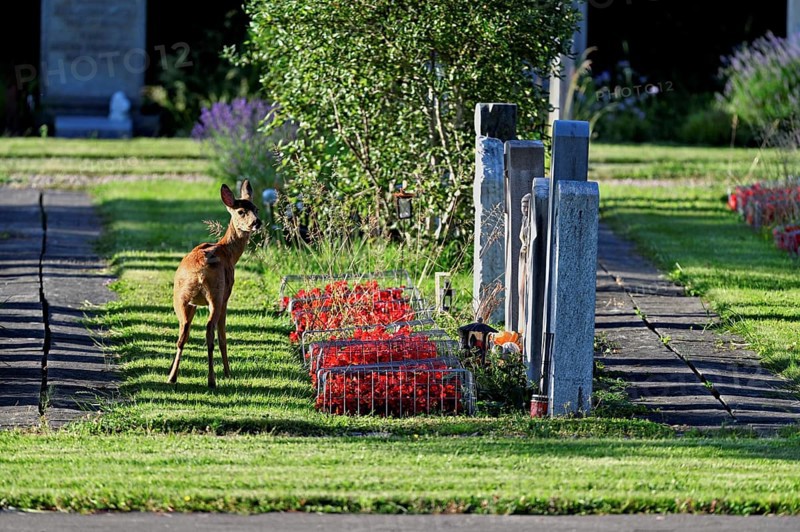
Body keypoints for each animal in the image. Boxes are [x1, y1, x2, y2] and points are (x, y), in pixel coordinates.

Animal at [168, 180, 262, 388]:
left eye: (256, 209)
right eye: (241, 211)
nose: (257, 222)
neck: (228, 252)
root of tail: (198, 274)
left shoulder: (194, 303)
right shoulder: (226, 295)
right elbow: (223, 336)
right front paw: (228, 373)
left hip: (181, 298)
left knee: (182, 334)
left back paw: (172, 377)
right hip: (215, 294)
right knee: (210, 331)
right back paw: (212, 380)